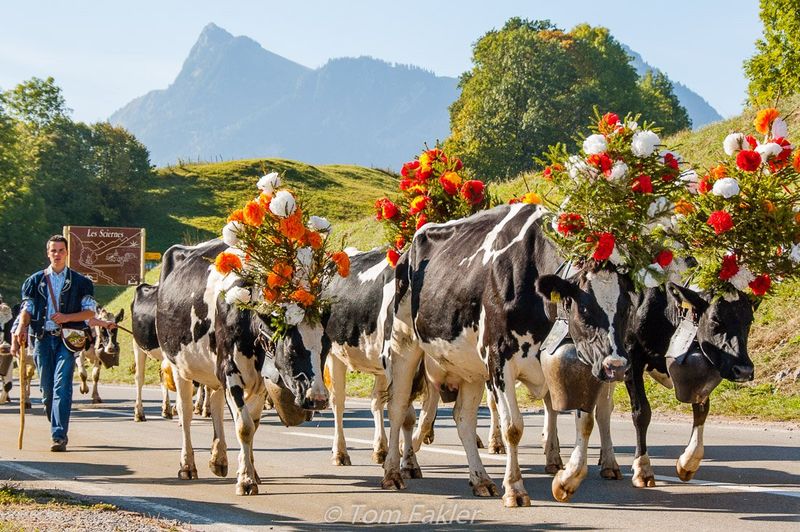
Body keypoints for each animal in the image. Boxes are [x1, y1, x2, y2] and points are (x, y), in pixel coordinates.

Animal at [156, 239, 328, 496]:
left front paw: (251, 472)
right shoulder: (230, 372)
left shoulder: (260, 382)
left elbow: (253, 425)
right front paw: (246, 481)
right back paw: (187, 466)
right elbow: (244, 426)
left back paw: (218, 459)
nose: (317, 398)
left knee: (216, 404)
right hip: (180, 367)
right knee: (185, 414)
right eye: (292, 348)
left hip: (212, 370)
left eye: (325, 347)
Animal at [382, 204, 636, 508]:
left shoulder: (579, 366)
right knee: (397, 408)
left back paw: (481, 479)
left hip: (469, 365)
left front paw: (566, 480)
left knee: (463, 418)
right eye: (584, 308)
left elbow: (585, 422)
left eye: (627, 306)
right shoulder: (499, 360)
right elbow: (513, 427)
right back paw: (393, 472)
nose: (617, 367)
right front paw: (515, 489)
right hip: (404, 344)